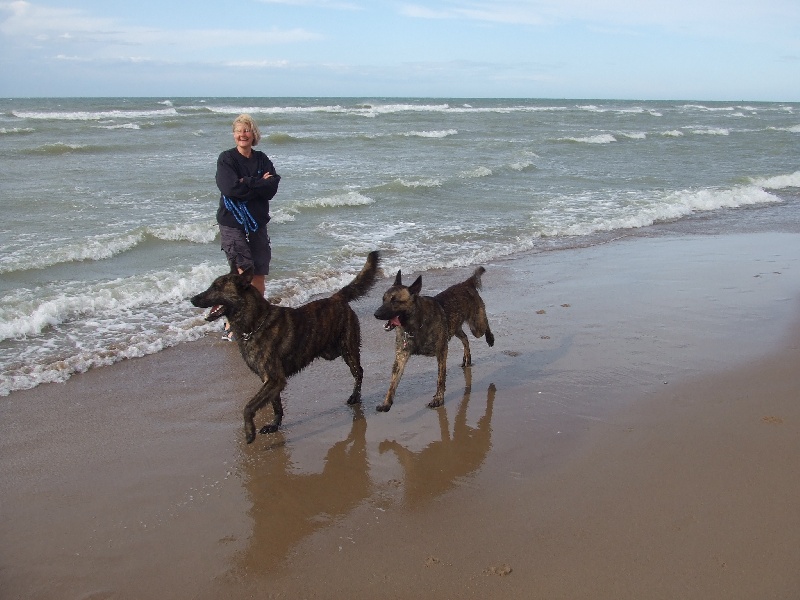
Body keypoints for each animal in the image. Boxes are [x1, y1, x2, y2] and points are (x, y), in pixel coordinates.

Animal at [191, 251, 380, 443]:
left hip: (348, 349)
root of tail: (336, 297)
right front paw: (274, 425)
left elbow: (248, 407)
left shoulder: (274, 379)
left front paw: (249, 431)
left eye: (216, 287)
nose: (192, 299)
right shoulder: (270, 381)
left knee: (359, 372)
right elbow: (276, 406)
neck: (255, 323)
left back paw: (355, 396)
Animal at [373, 266, 494, 412]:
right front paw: (386, 402)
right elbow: (393, 383)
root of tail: (466, 283)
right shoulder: (401, 357)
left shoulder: (442, 352)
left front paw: (438, 399)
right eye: (383, 299)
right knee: (465, 338)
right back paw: (467, 358)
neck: (415, 323)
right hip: (455, 328)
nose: (376, 314)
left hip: (476, 327)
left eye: (395, 301)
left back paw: (490, 338)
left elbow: (440, 378)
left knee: (485, 323)